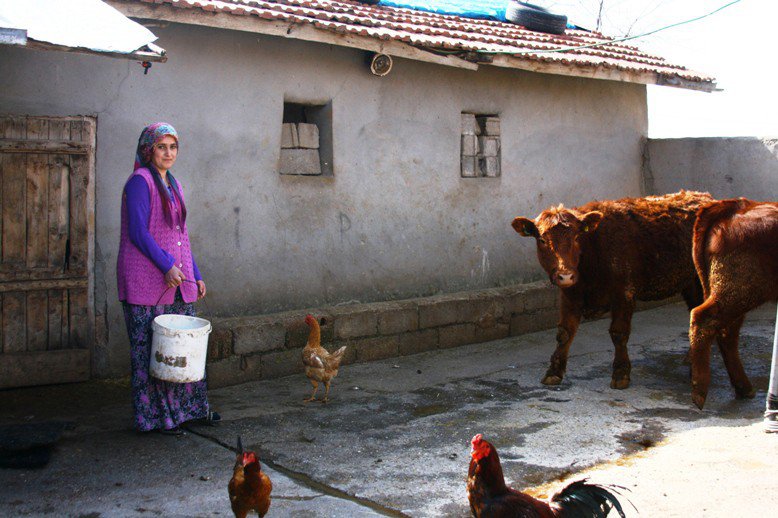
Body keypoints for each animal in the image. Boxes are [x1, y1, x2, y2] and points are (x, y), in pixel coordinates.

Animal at [512, 191, 712, 390]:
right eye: (542, 240)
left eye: (576, 238)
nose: (566, 275)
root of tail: (702, 196)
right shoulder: (570, 295)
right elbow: (564, 333)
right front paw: (553, 372)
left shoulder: (624, 293)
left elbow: (618, 333)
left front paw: (621, 373)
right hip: (689, 282)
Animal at [684, 199, 776, 410]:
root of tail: (737, 206)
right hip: (739, 291)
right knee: (704, 319)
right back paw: (699, 392)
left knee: (727, 333)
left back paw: (743, 387)